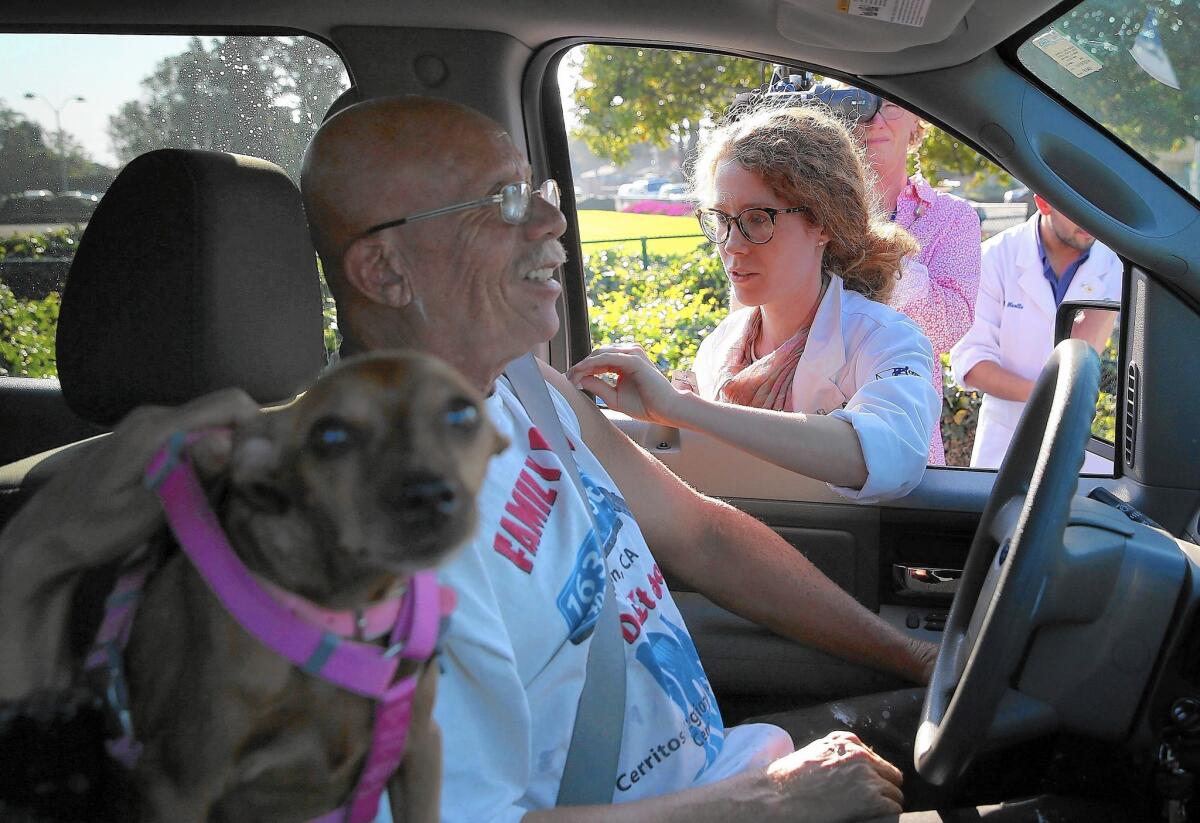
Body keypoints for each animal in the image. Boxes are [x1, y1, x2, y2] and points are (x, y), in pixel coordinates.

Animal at [112, 355, 506, 823]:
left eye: (463, 414)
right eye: (330, 436)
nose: (427, 495)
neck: (344, 621)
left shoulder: (419, 747)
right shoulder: (175, 786)